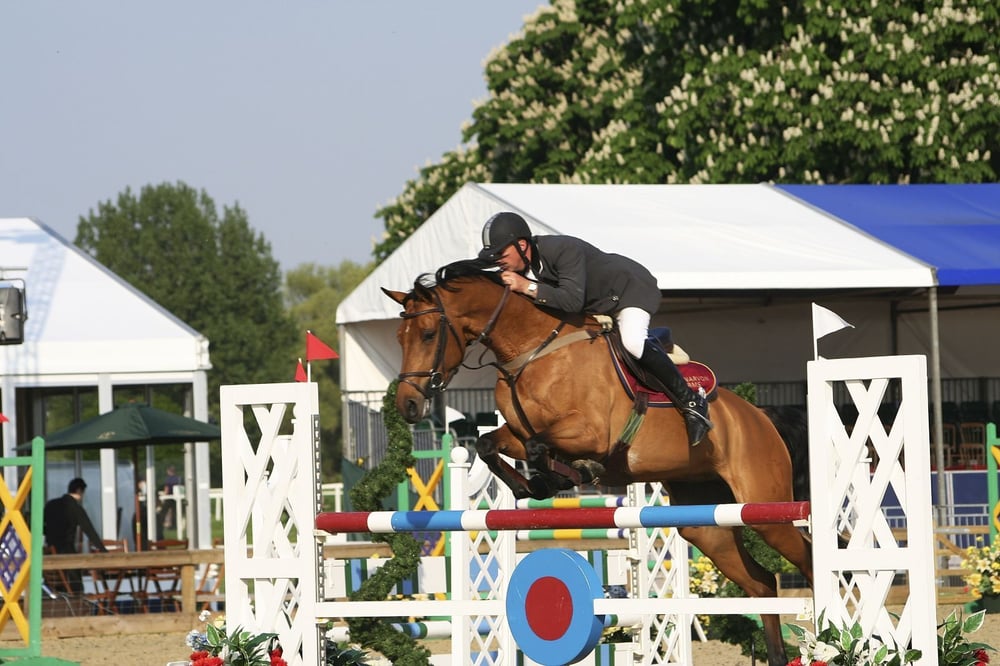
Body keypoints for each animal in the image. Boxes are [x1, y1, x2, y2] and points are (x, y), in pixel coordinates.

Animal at [383, 260, 813, 666]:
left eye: (427, 334)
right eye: (399, 338)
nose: (408, 405)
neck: (531, 350)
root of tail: (760, 416)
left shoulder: (589, 432)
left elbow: (541, 447)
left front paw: (571, 474)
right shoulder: (517, 432)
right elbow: (492, 444)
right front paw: (531, 485)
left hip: (766, 510)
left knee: (806, 560)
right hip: (706, 525)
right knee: (761, 583)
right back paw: (779, 655)